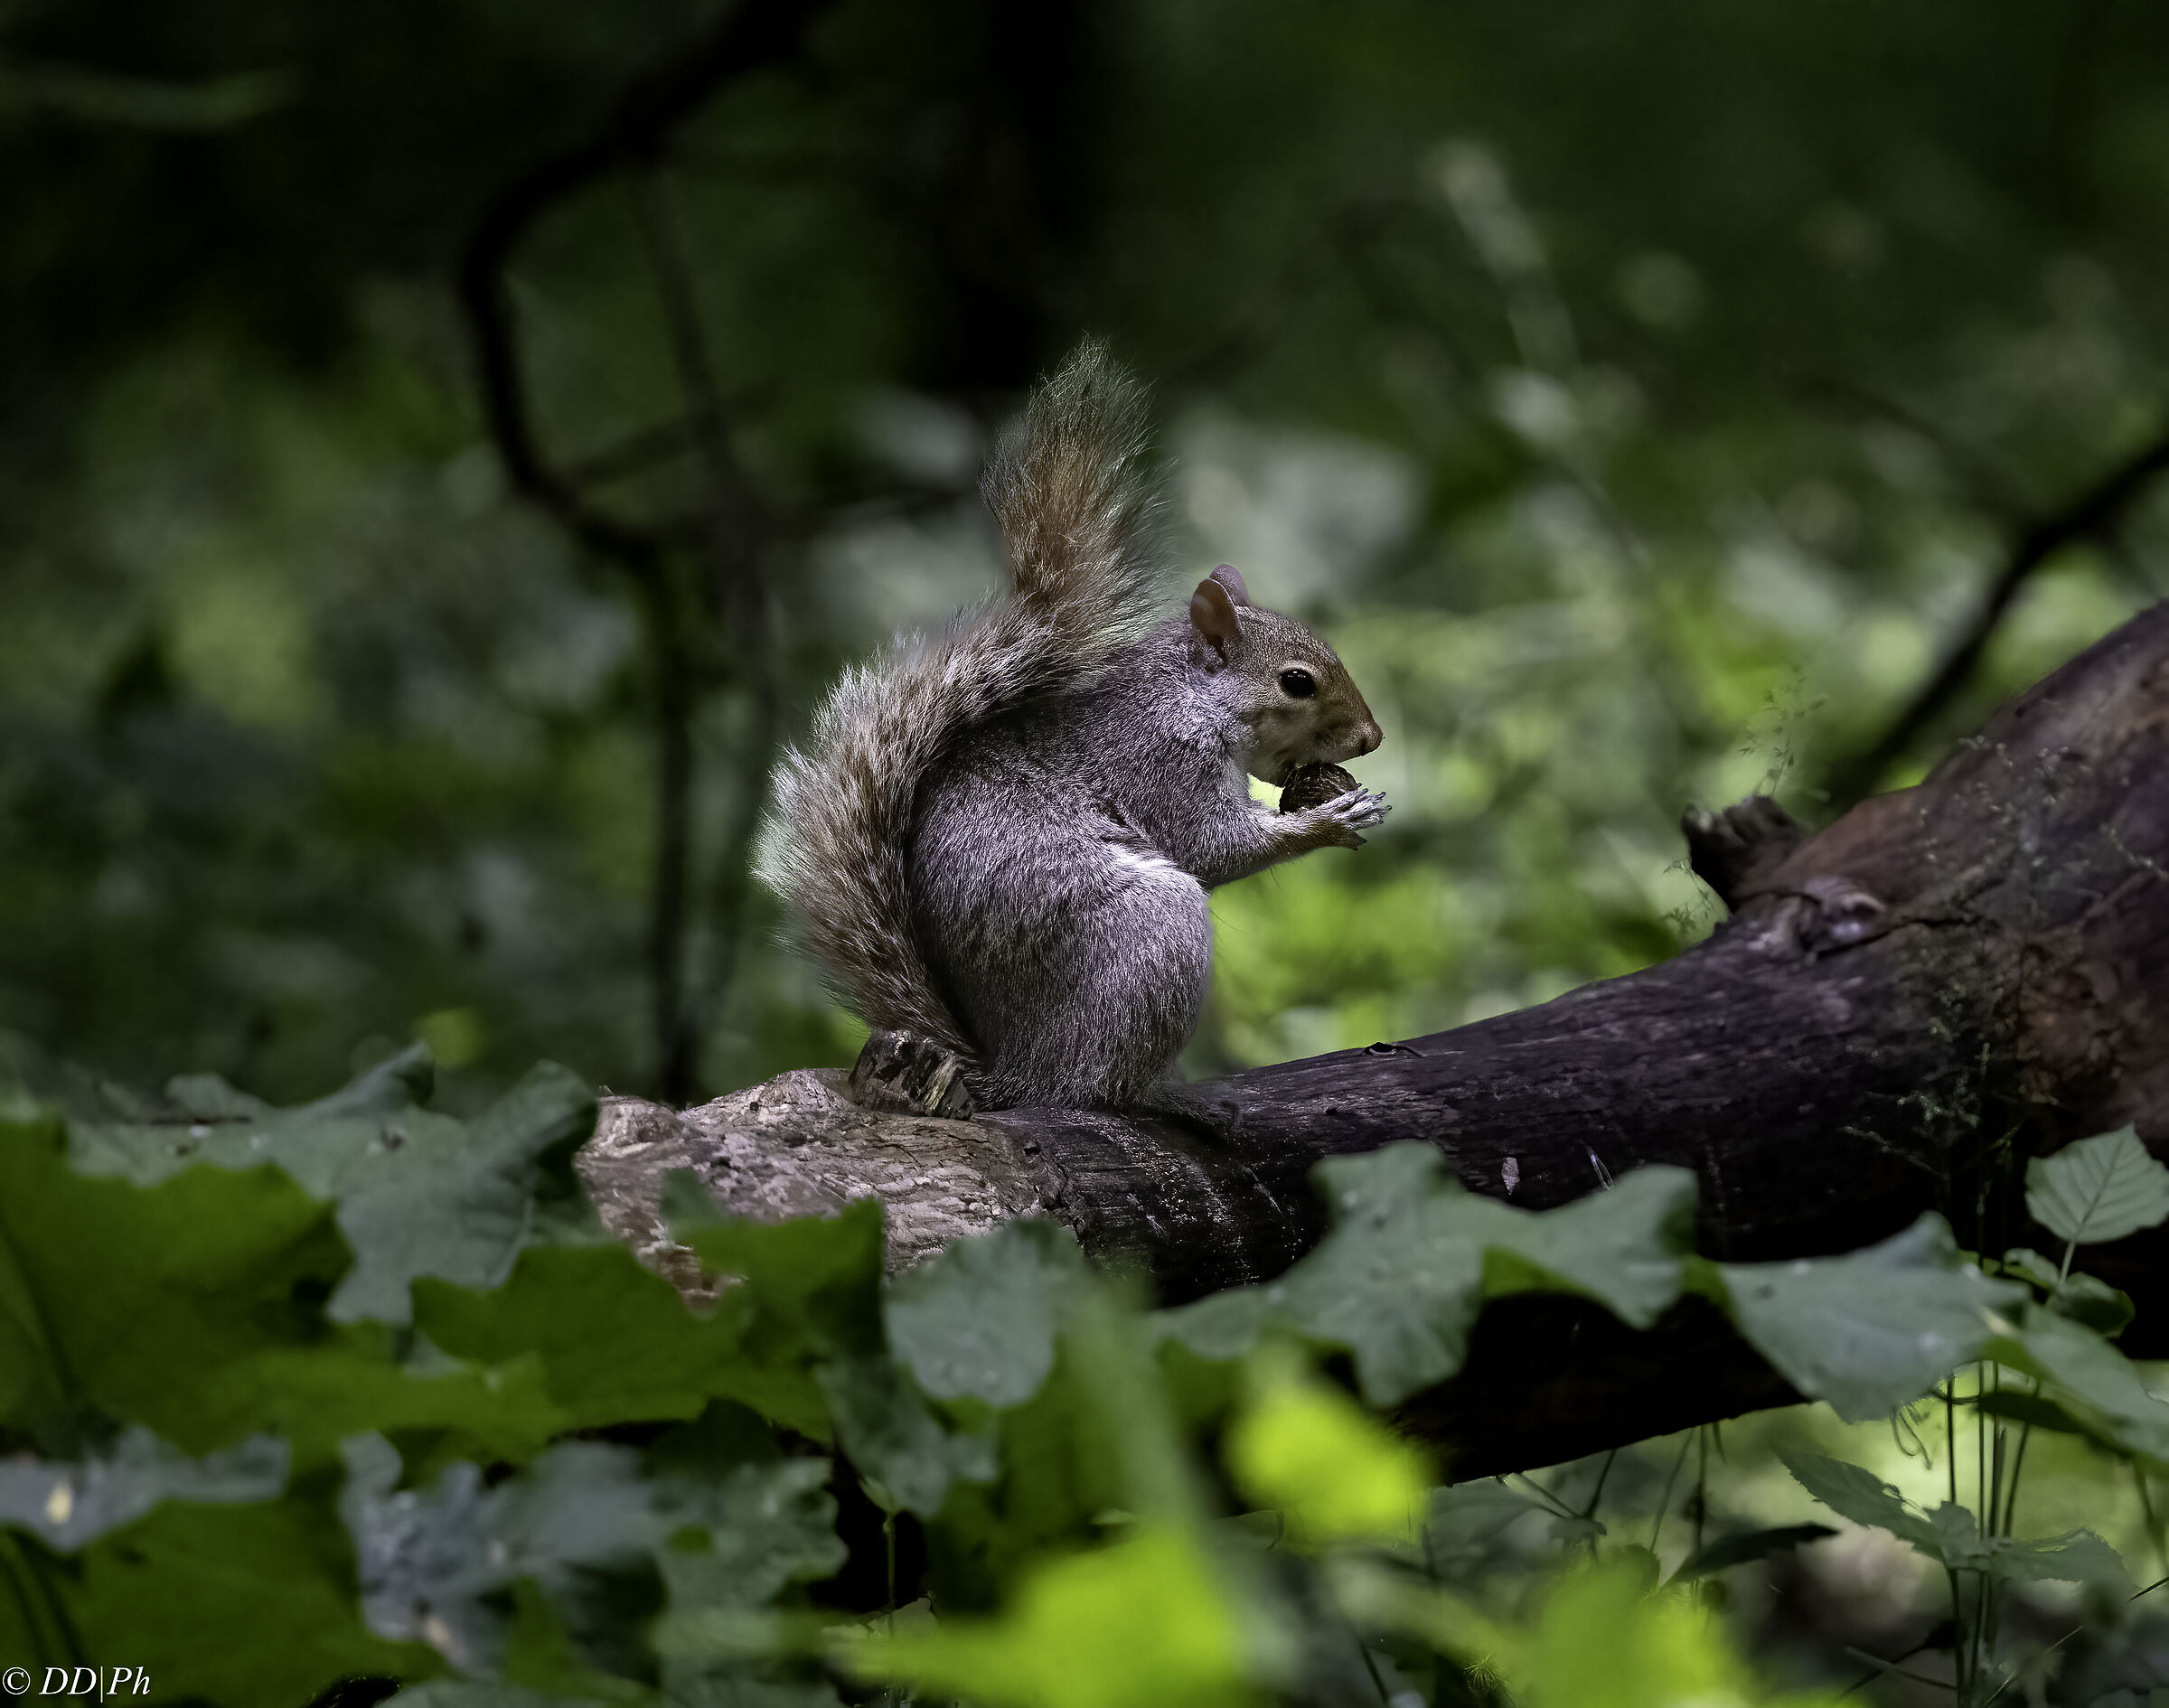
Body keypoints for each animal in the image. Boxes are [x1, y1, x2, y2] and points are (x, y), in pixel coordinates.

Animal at [756, 340, 1387, 1133]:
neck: (1189, 698)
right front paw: (1331, 819)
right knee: (1099, 1084)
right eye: (1297, 682)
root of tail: (1014, 1069)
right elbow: (1211, 847)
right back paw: (1171, 1097)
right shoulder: (1158, 762)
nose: (1372, 736)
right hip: (1153, 934)